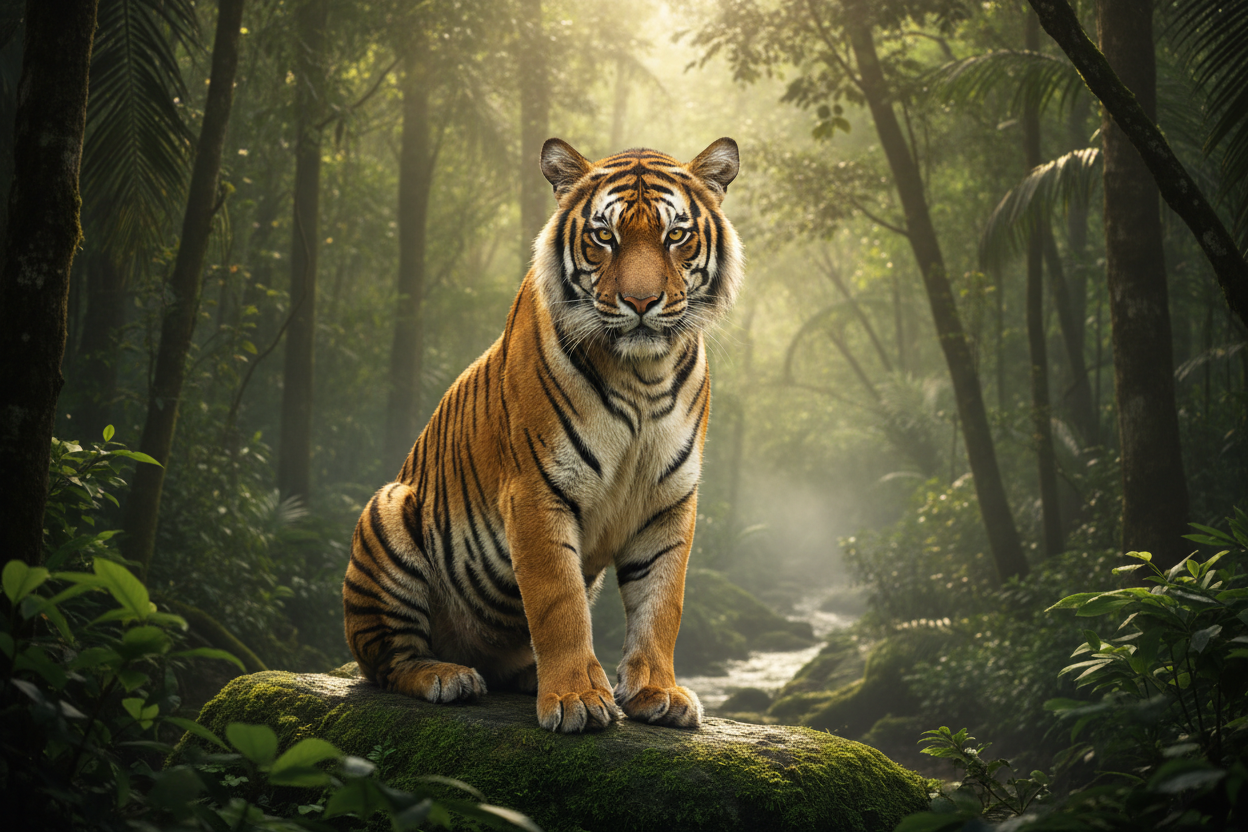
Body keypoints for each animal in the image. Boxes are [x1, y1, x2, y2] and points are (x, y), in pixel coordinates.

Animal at [342, 137, 743, 733]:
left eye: (676, 235)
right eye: (604, 236)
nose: (641, 302)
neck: (643, 375)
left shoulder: (669, 500)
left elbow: (661, 602)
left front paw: (658, 692)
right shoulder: (537, 490)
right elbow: (559, 604)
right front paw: (577, 699)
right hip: (389, 509)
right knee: (386, 662)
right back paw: (447, 677)